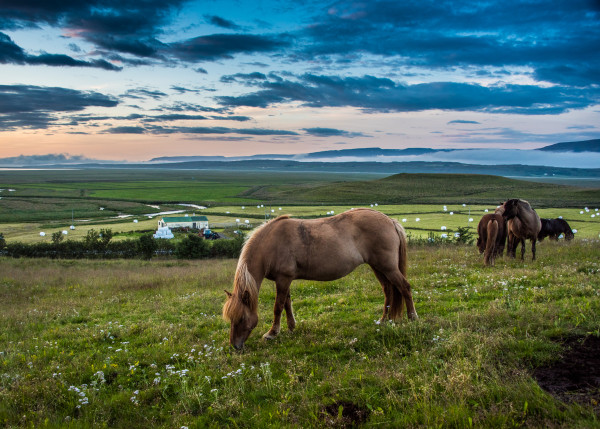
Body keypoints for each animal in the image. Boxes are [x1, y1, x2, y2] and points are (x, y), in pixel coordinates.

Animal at [221, 209, 418, 350]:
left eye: (241, 318)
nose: (235, 346)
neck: (271, 243)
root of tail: (390, 221)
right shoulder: (286, 279)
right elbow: (287, 304)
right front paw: (291, 327)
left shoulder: (283, 279)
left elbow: (278, 307)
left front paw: (272, 333)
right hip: (379, 268)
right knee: (389, 290)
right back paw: (384, 320)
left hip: (388, 267)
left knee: (405, 287)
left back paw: (413, 318)